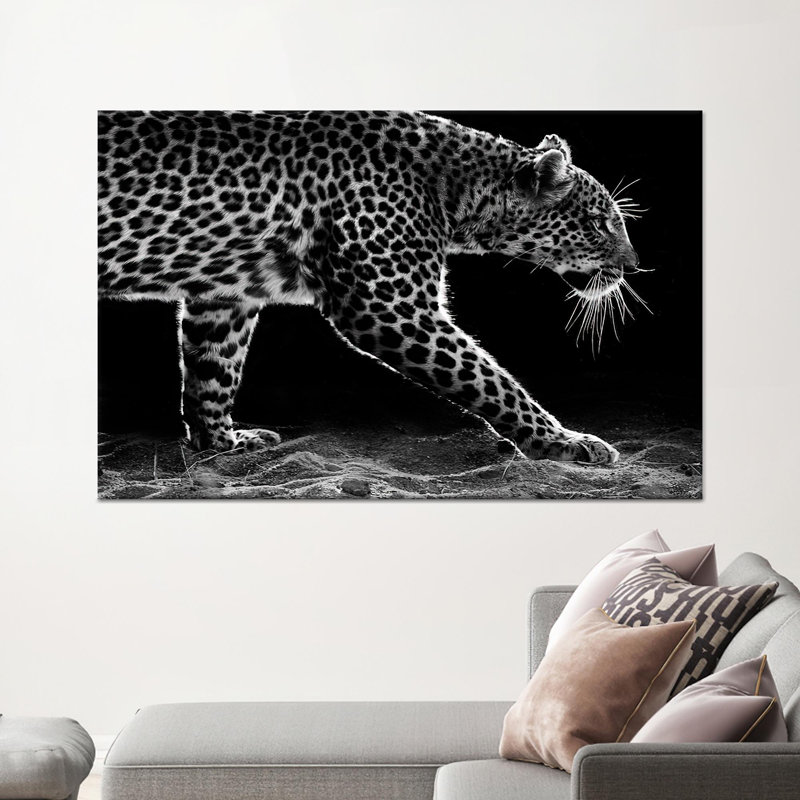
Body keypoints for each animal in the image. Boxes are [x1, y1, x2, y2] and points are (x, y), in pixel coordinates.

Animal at [98, 110, 641, 463]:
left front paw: (222, 445)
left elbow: (213, 371)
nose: (633, 267)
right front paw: (564, 441)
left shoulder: (225, 294)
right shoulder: (391, 307)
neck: (460, 191)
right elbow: (491, 379)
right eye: (601, 223)